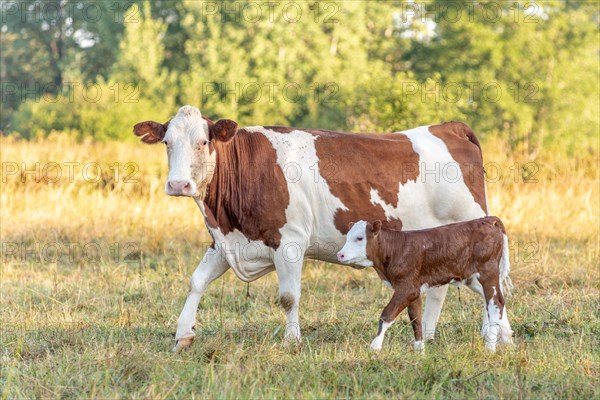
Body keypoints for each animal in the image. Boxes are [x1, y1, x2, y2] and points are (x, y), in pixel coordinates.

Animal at [134, 104, 490, 352]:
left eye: (203, 141)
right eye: (166, 142)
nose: (178, 184)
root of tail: (449, 127)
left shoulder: (289, 241)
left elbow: (289, 297)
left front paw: (292, 341)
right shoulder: (227, 242)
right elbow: (196, 282)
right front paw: (182, 336)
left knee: (489, 282)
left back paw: (490, 335)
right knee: (440, 288)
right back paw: (427, 335)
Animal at [336, 217, 512, 352]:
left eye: (360, 238)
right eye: (347, 237)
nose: (340, 254)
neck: (395, 249)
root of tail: (488, 220)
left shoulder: (407, 287)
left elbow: (387, 314)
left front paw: (375, 346)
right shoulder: (414, 288)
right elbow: (415, 317)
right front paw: (419, 350)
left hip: (487, 271)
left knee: (494, 303)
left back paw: (490, 347)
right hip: (472, 277)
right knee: (497, 301)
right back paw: (508, 340)